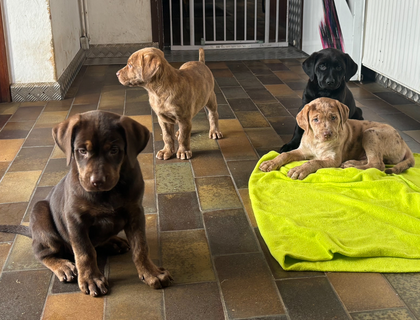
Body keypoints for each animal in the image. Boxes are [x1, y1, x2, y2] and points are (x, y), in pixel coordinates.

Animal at [0, 111, 172, 296]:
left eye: (114, 150)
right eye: (82, 150)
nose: (97, 181)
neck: (107, 194)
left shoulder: (135, 212)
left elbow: (141, 246)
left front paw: (151, 272)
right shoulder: (75, 220)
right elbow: (84, 252)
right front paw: (91, 279)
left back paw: (113, 242)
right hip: (40, 214)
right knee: (42, 252)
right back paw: (63, 266)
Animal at [260, 97, 416, 180]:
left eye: (333, 117)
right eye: (315, 119)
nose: (327, 134)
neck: (317, 142)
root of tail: (404, 143)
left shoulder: (333, 159)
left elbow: (314, 161)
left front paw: (299, 169)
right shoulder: (302, 150)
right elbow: (285, 154)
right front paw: (270, 163)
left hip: (370, 133)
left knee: (378, 164)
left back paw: (352, 166)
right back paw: (351, 162)